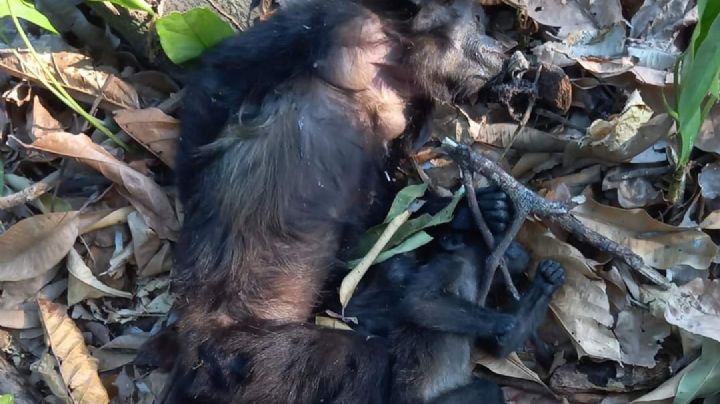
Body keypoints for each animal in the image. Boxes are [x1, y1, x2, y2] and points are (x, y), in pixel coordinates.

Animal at [164, 0, 509, 401]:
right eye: (477, 21)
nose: (501, 47)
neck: (395, 55)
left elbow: (378, 214)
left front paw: (464, 214)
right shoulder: (337, 18)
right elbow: (221, 73)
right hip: (240, 358)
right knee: (363, 359)